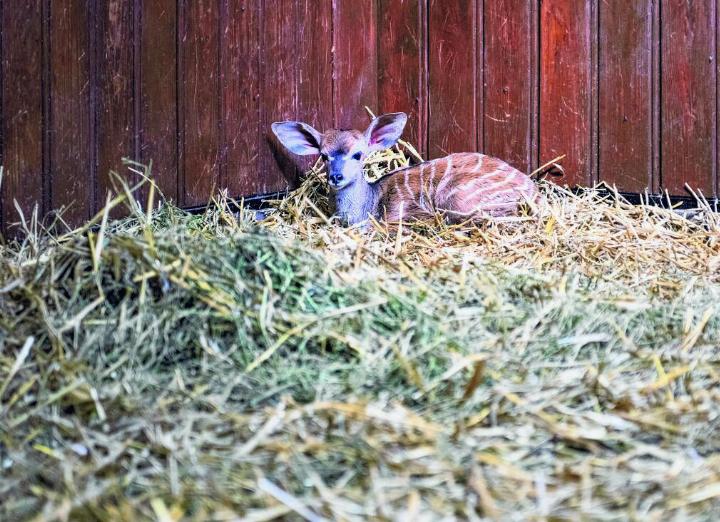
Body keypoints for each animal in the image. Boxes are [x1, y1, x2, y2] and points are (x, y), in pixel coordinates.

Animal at [272, 111, 540, 225]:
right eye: (324, 155)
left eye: (358, 154)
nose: (336, 176)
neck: (369, 206)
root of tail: (534, 192)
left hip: (459, 198)